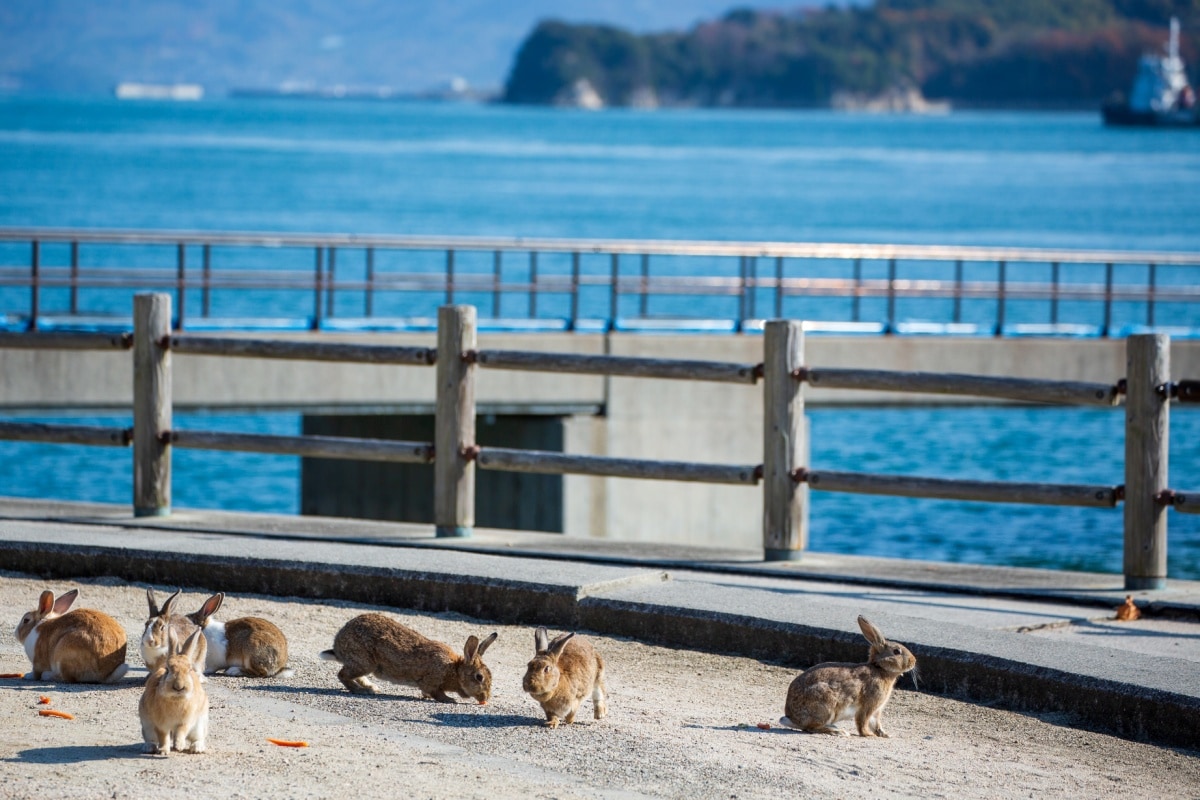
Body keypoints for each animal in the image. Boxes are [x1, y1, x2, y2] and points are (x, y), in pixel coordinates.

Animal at [319, 614, 496, 700]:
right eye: (479, 677)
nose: (485, 697)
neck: (455, 670)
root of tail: (337, 646)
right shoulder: (432, 679)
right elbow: (434, 692)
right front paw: (449, 700)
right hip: (363, 661)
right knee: (342, 674)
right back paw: (360, 691)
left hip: (365, 665)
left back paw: (371, 688)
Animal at [777, 618, 916, 743]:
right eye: (897, 651)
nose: (914, 661)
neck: (879, 668)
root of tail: (792, 718)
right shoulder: (868, 705)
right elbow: (863, 722)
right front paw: (869, 735)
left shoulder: (876, 710)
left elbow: (876, 724)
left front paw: (885, 735)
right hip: (826, 704)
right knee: (811, 728)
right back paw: (838, 731)